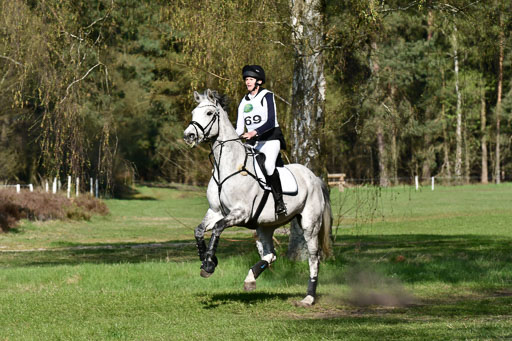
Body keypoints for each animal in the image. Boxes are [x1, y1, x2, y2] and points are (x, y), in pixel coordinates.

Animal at [183, 88, 332, 306]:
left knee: (314, 258)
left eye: (209, 113)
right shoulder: (216, 211)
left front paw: (209, 263)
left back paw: (308, 297)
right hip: (265, 226)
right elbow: (199, 230)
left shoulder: (240, 213)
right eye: (193, 112)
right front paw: (205, 260)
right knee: (271, 254)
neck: (227, 166)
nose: (189, 136)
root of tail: (314, 178)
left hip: (310, 224)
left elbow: (217, 229)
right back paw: (250, 279)